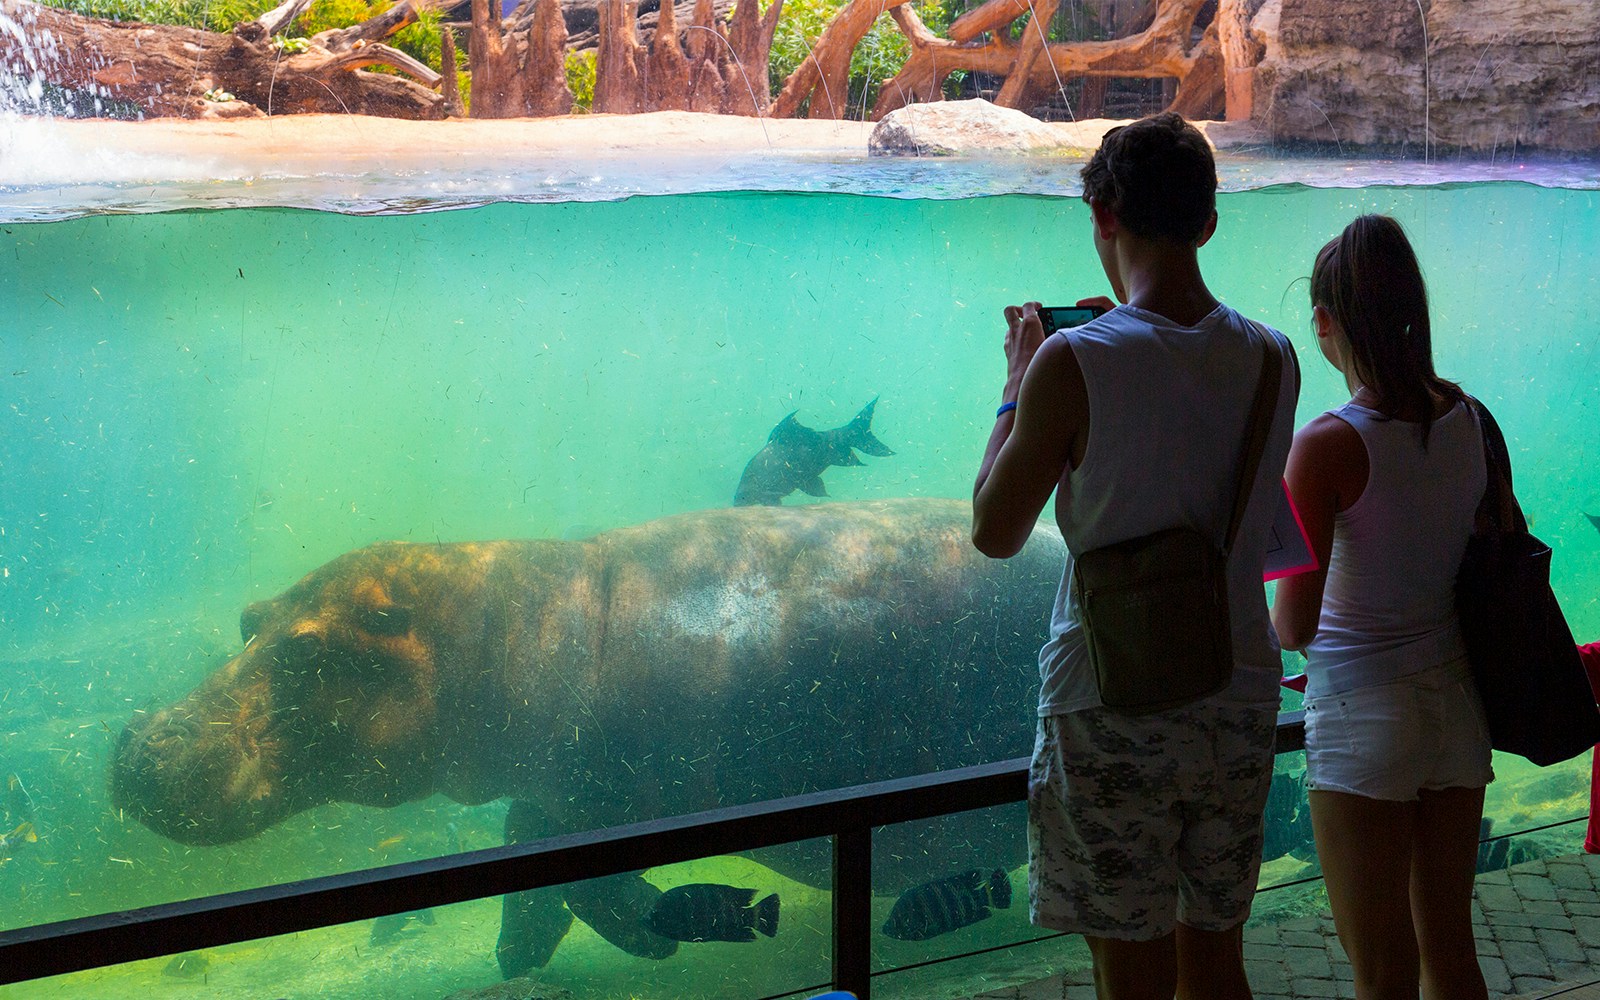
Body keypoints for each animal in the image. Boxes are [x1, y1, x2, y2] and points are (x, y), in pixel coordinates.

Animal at [111, 498, 1064, 975]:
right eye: (248, 620)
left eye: (307, 651)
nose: (134, 740)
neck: (499, 628)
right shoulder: (554, 788)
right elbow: (528, 852)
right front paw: (517, 957)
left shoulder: (599, 797)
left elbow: (570, 869)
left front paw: (651, 938)